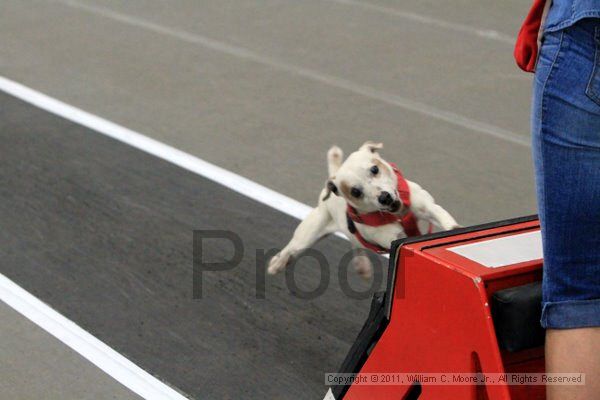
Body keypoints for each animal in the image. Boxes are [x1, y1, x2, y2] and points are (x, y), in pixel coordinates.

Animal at [268, 143, 460, 278]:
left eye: (374, 169)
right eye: (355, 192)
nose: (384, 197)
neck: (397, 214)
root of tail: (331, 178)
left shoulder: (426, 207)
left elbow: (442, 216)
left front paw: (454, 230)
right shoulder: (392, 239)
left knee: (355, 242)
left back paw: (362, 264)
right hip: (307, 235)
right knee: (290, 249)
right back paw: (276, 264)